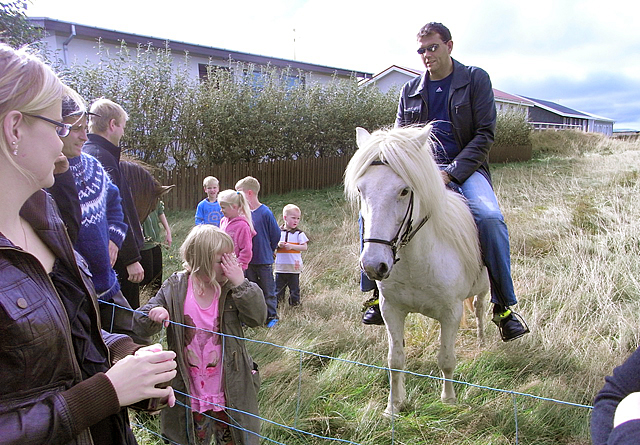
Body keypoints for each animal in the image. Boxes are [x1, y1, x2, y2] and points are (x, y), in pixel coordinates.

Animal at [344, 125, 490, 416]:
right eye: (361, 189)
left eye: (404, 191)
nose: (373, 266)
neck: (415, 264)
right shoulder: (391, 309)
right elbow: (395, 360)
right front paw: (393, 406)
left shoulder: (451, 313)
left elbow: (446, 358)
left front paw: (448, 401)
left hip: (485, 287)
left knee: (480, 308)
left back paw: (483, 338)